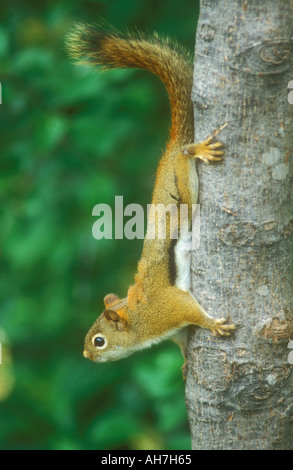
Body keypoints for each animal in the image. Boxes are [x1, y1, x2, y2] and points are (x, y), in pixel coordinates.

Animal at [65, 21, 234, 378]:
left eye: (99, 341)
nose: (86, 356)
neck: (138, 320)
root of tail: (169, 147)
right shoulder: (173, 328)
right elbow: (183, 339)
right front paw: (184, 362)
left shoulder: (169, 308)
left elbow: (193, 313)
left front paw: (213, 324)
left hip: (185, 188)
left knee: (186, 155)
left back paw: (197, 149)